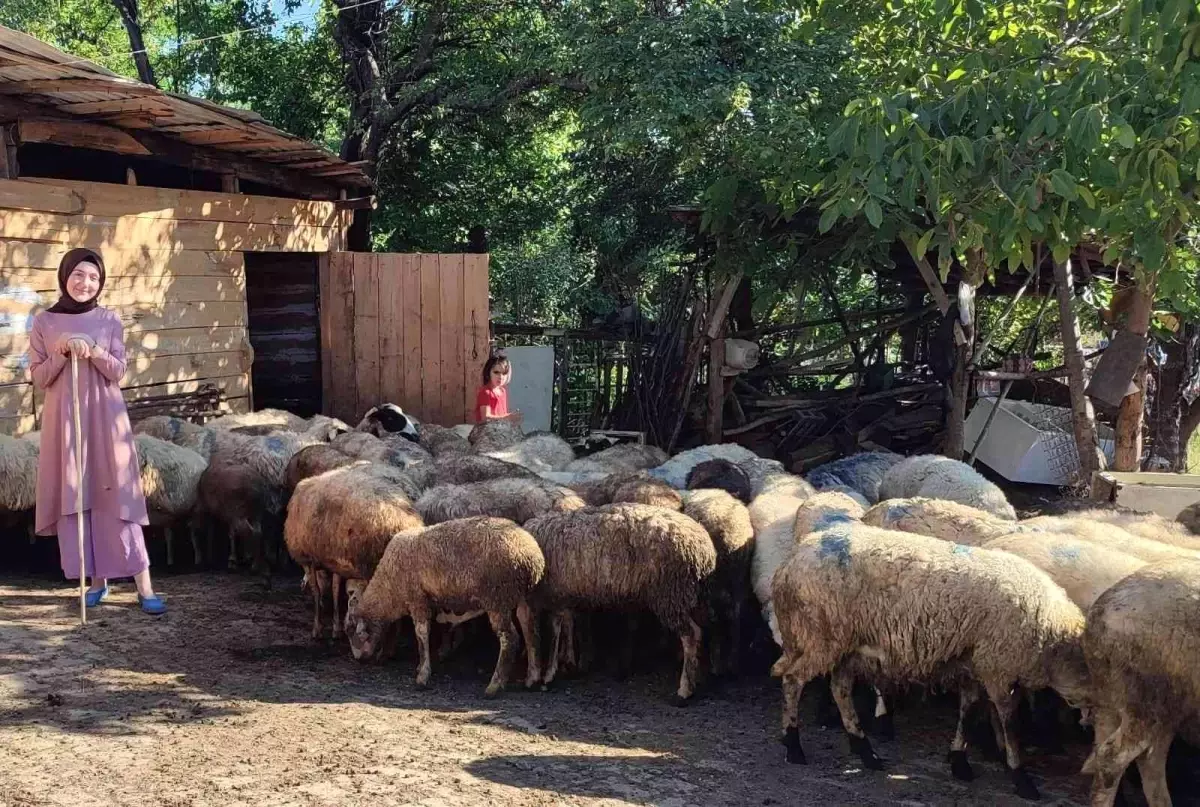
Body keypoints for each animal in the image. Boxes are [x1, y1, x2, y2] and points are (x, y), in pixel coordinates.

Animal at [345, 521, 547, 696]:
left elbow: (421, 634)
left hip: (497, 597)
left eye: (351, 631)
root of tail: (532, 557)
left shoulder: (417, 600)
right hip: (524, 596)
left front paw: (423, 675)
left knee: (510, 638)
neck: (387, 588)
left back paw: (494, 686)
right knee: (530, 629)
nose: (359, 660)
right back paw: (532, 677)